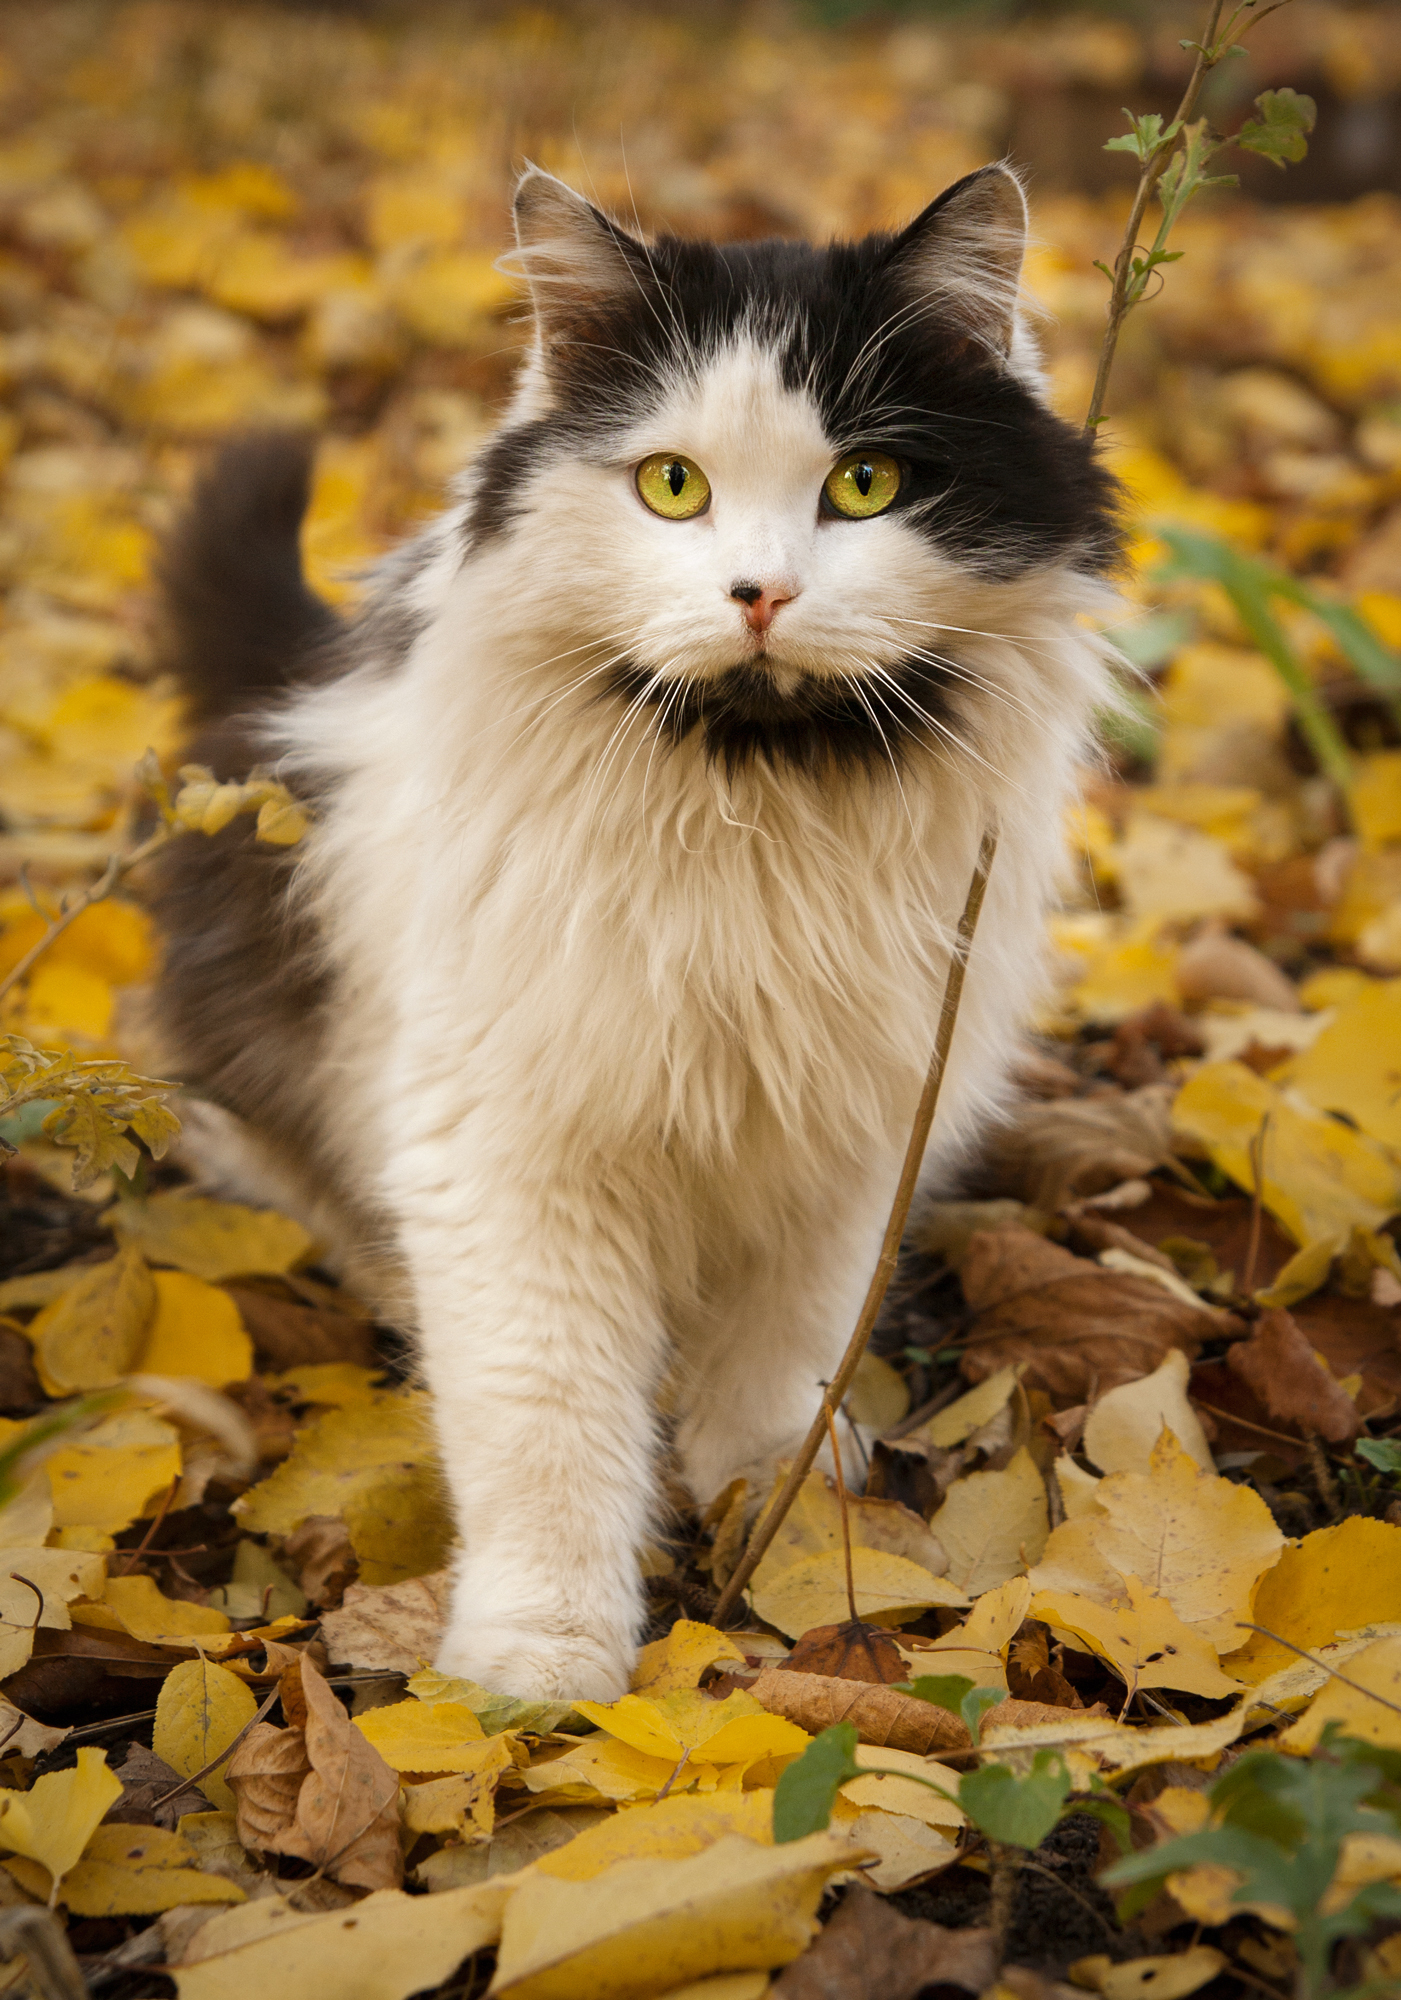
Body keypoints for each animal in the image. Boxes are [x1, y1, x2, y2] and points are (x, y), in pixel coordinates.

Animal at [150, 164, 1112, 1704]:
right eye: (673, 485)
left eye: (866, 484)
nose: (762, 595)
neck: (753, 812)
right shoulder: (506, 1156)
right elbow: (544, 1425)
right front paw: (536, 1667)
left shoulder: (843, 1126)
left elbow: (784, 1353)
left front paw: (779, 1511)